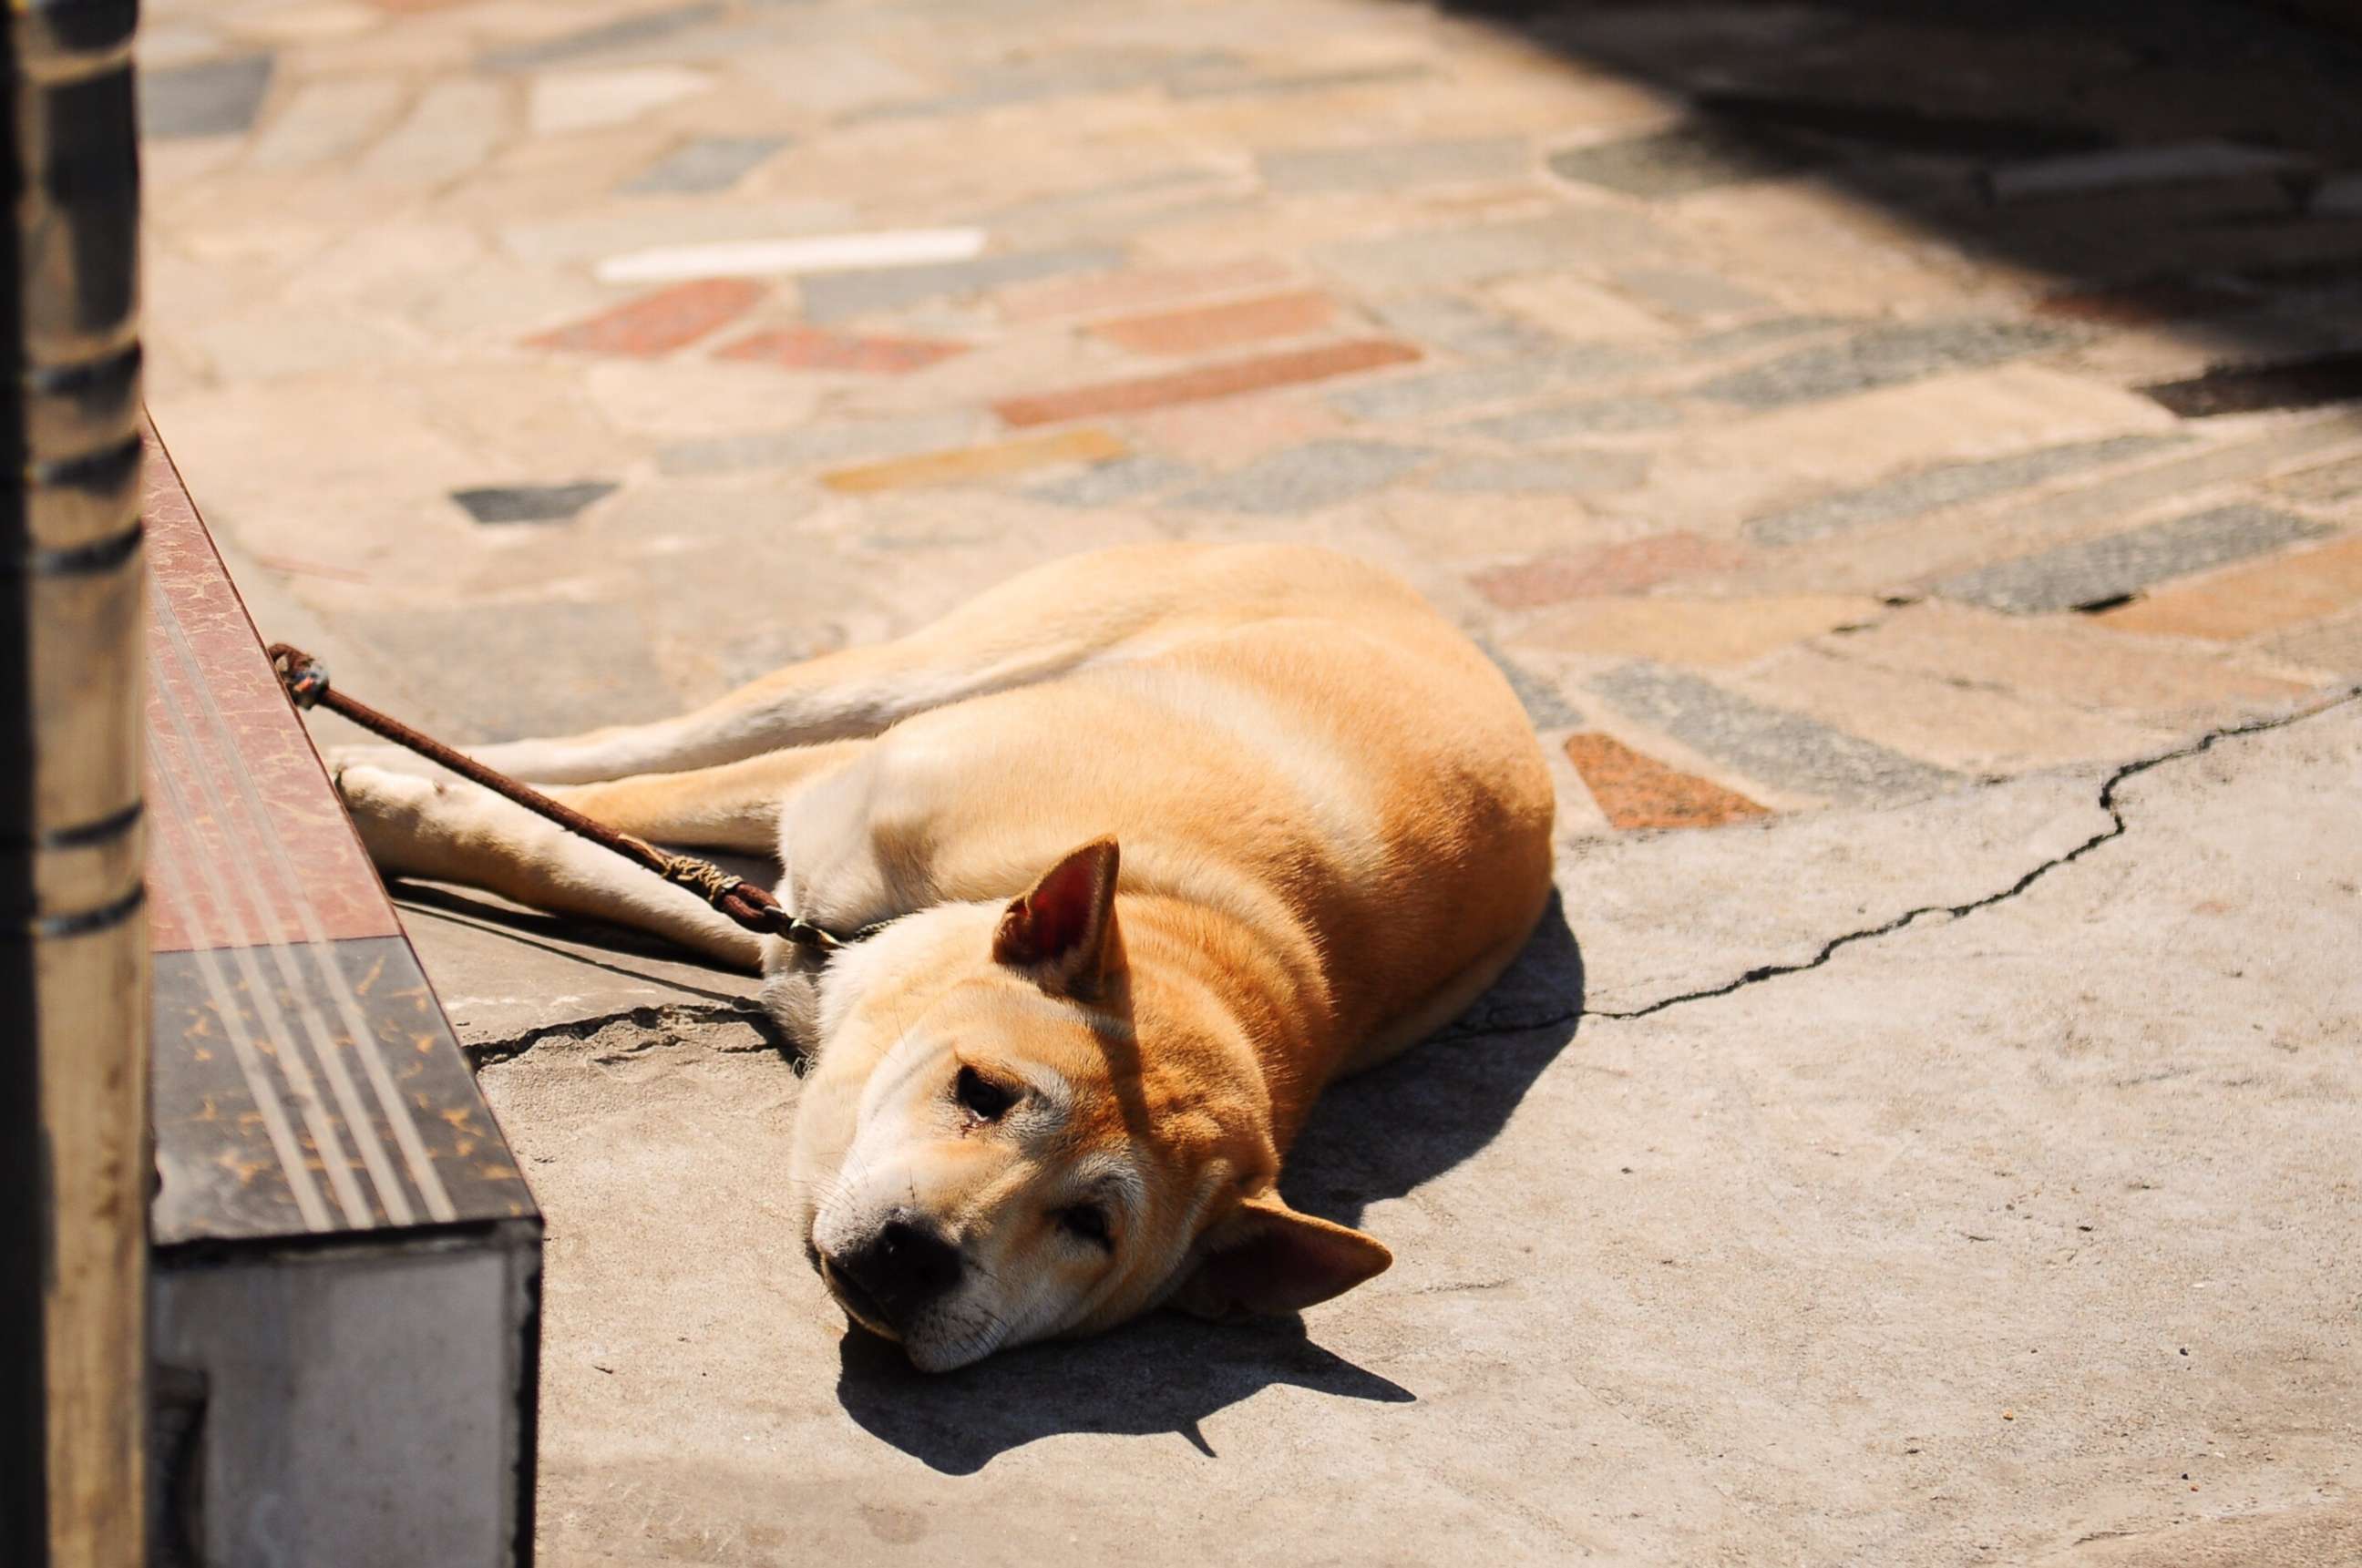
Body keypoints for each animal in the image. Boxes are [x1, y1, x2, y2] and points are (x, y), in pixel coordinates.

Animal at [333, 543, 1549, 1369]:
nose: (918, 1254)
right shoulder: (835, 798)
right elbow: (567, 829)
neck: (1190, 922)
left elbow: (587, 854)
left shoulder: (804, 920)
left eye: (1091, 1225)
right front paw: (390, 810)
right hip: (899, 681)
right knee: (615, 752)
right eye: (983, 1091)